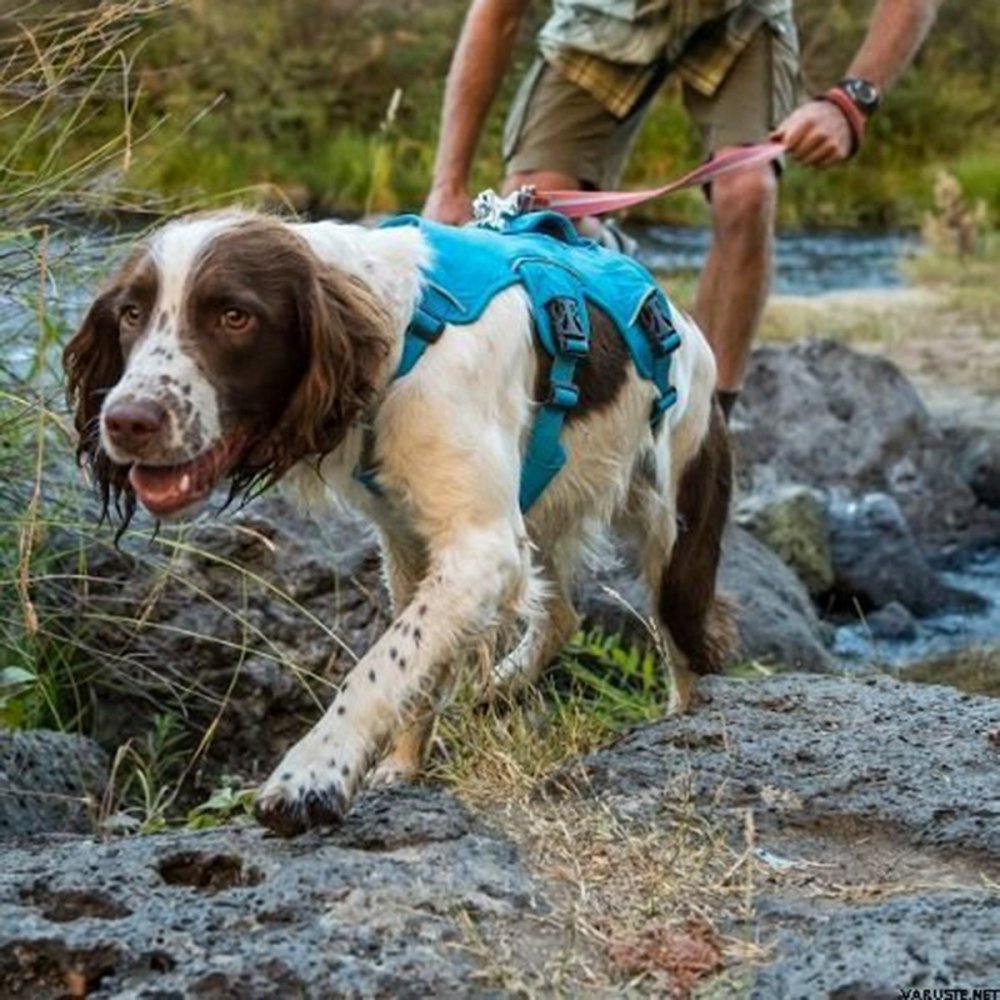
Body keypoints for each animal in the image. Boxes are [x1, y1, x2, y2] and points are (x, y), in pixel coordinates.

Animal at [62, 213, 736, 836]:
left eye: (234, 316)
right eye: (130, 314)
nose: (127, 421)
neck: (406, 338)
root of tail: (682, 318)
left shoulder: (479, 546)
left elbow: (379, 666)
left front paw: (312, 774)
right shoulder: (411, 541)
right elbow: (415, 664)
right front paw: (401, 767)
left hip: (674, 519)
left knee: (685, 643)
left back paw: (687, 721)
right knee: (564, 613)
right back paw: (503, 685)